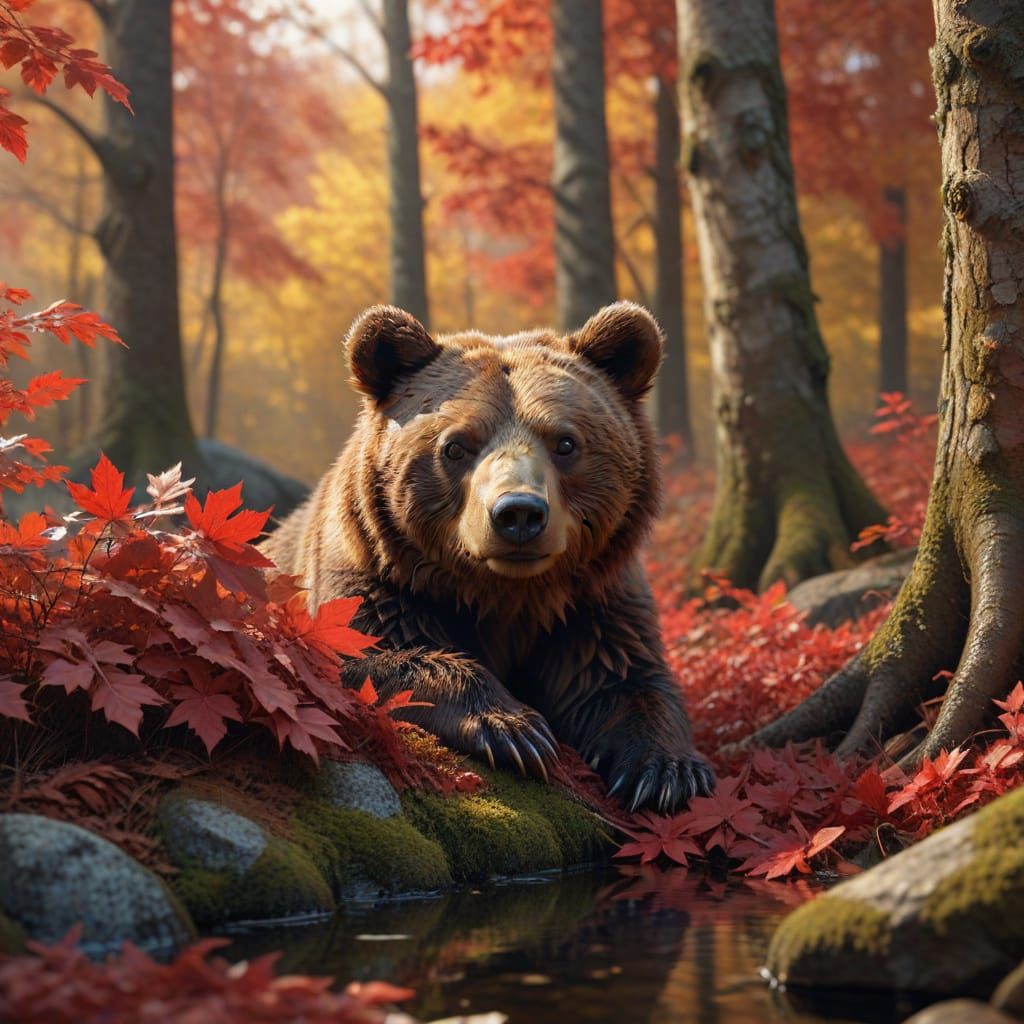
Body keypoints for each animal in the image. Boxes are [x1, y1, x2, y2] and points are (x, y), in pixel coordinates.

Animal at [262, 301, 714, 812]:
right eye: (455, 446)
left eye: (565, 442)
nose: (518, 513)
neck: (504, 593)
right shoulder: (377, 580)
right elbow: (367, 651)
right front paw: (514, 729)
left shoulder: (592, 605)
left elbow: (623, 678)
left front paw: (666, 772)